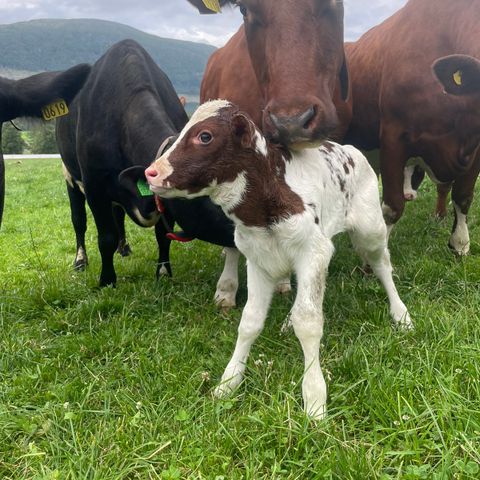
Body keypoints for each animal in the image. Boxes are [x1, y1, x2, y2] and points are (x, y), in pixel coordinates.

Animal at [144, 100, 410, 420]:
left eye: (205, 136)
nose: (151, 172)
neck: (264, 207)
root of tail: (349, 149)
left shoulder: (313, 250)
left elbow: (309, 321)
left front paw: (314, 399)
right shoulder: (259, 260)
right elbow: (250, 321)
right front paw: (228, 382)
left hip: (370, 227)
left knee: (383, 265)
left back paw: (401, 314)